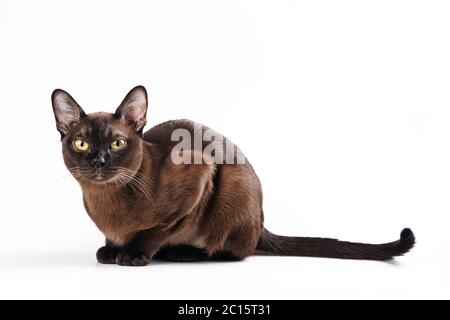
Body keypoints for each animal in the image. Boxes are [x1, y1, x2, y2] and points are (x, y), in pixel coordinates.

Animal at [51, 86, 414, 266]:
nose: (99, 161)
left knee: (237, 251)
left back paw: (183, 253)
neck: (106, 201)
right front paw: (110, 250)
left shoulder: (199, 178)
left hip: (233, 190)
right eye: (82, 143)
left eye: (117, 143)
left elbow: (156, 231)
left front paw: (132, 254)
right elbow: (113, 239)